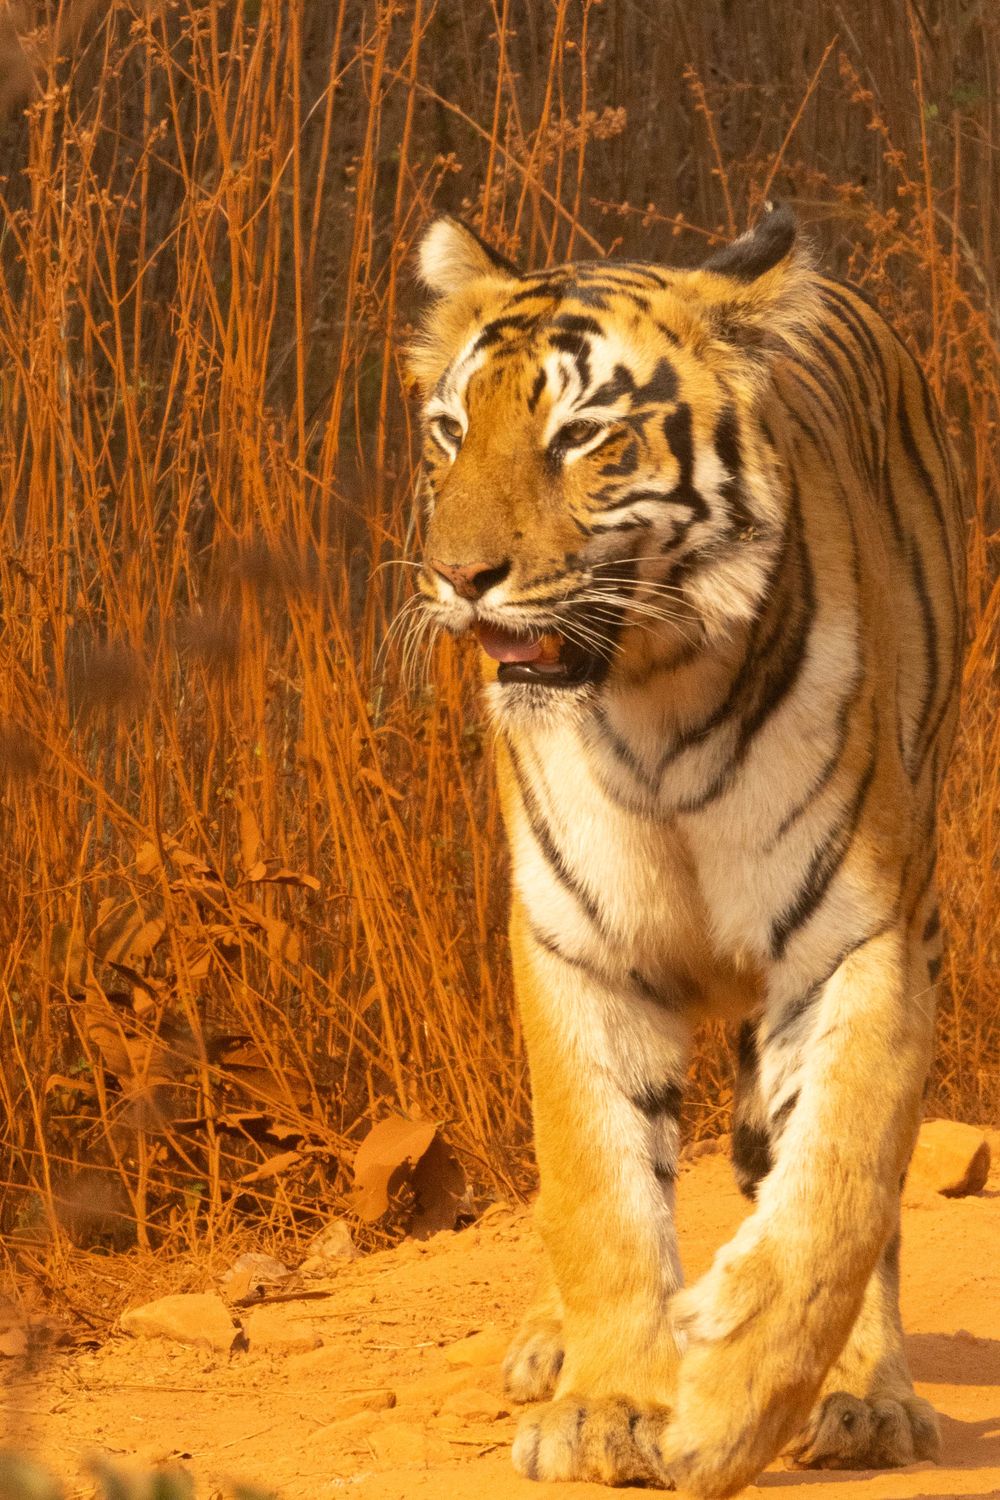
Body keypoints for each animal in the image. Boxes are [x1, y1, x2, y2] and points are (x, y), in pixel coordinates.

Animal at [407, 202, 966, 1496]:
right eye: (450, 432)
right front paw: (608, 1407)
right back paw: (555, 1347)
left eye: (581, 438)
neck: (651, 708)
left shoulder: (851, 942)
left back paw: (863, 1396)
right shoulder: (574, 948)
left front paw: (728, 1409)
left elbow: (835, 1192)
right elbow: (598, 1190)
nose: (458, 577)